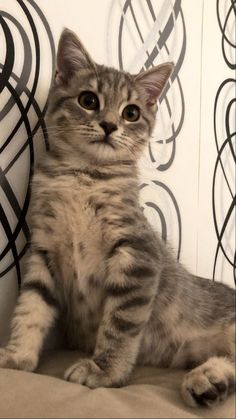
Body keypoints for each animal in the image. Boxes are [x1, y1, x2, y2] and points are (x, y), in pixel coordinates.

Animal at [0, 29, 235, 410]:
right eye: (88, 100)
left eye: (132, 112)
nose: (110, 125)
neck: (85, 177)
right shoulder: (42, 252)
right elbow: (30, 309)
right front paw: (17, 356)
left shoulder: (138, 256)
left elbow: (119, 325)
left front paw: (104, 371)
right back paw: (209, 383)